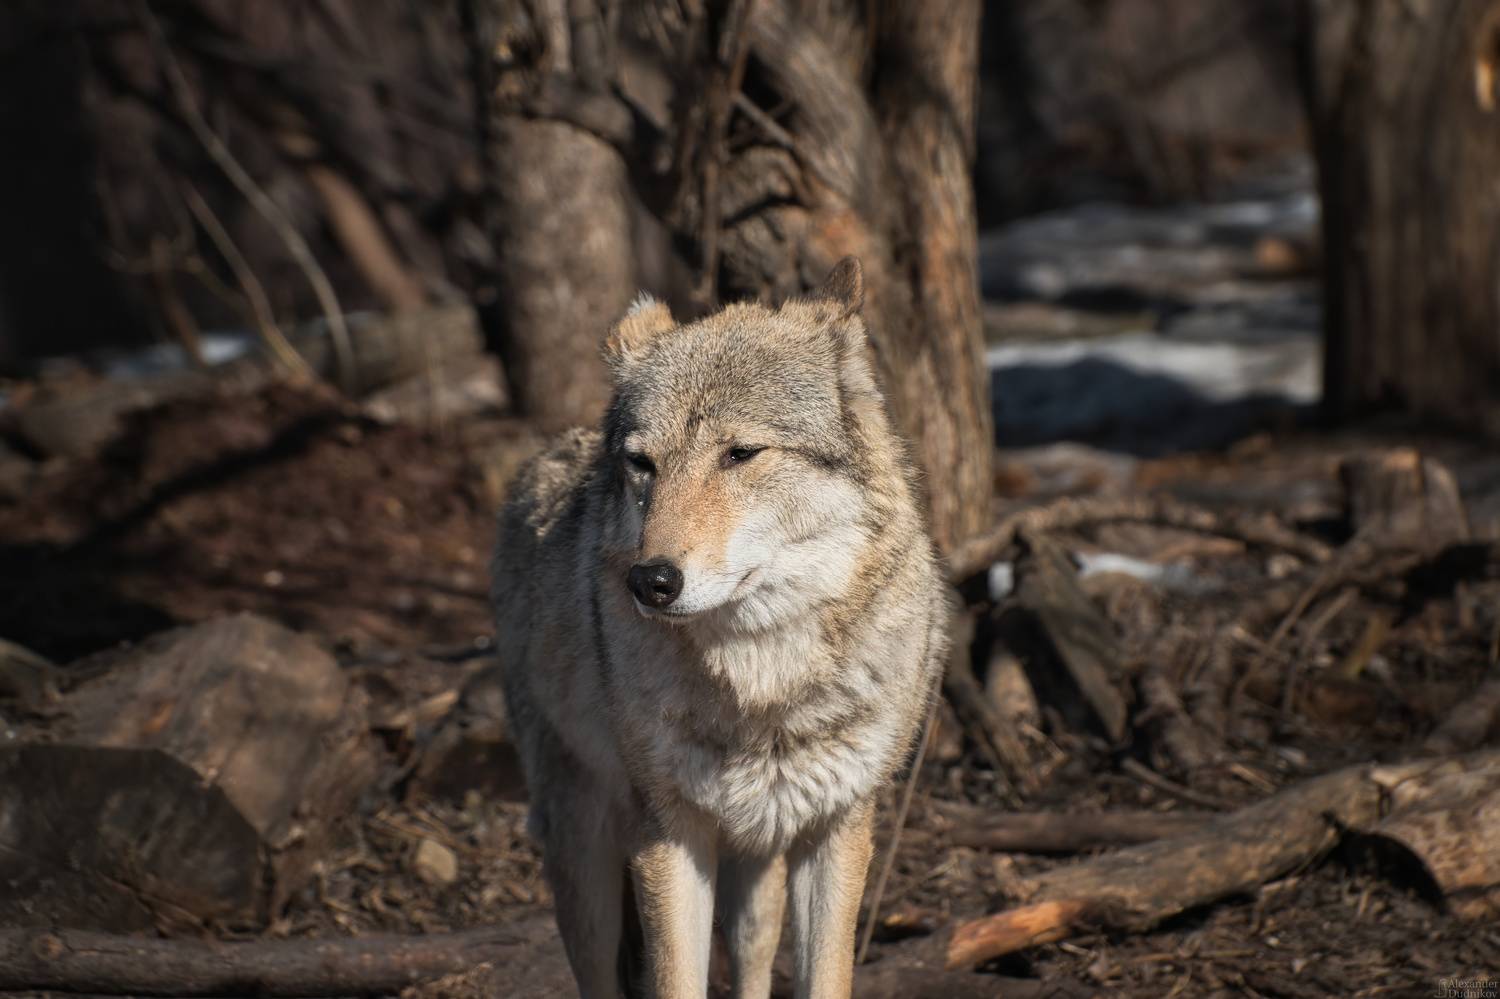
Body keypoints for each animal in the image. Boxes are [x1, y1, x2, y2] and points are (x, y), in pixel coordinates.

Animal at [491, 258, 948, 999]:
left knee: (753, 954)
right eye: (643, 464)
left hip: (758, 856)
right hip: (582, 849)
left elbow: (826, 976)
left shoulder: (837, 826)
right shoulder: (667, 832)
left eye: (740, 453)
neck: (762, 682)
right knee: (600, 968)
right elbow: (677, 978)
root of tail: (549, 453)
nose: (651, 580)